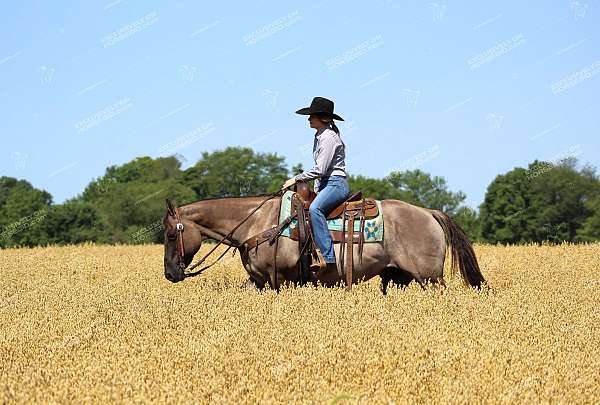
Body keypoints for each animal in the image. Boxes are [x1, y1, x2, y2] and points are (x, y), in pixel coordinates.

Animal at [162, 188, 486, 292]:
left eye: (170, 234)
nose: (170, 273)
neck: (258, 223)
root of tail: (429, 213)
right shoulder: (259, 282)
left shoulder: (281, 279)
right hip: (397, 278)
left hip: (431, 278)